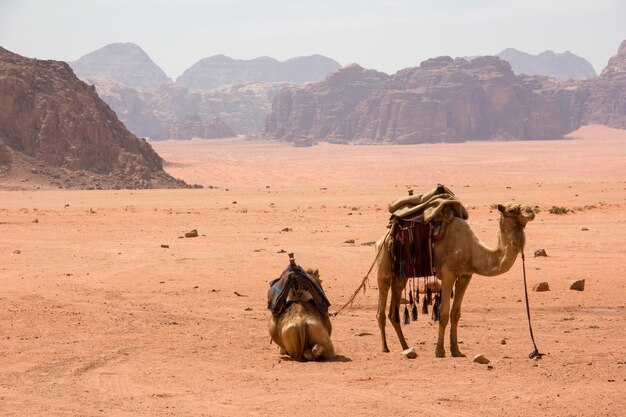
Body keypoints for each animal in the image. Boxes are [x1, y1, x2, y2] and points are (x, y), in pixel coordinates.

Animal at [372, 203, 532, 356]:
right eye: (512, 210)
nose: (531, 211)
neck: (473, 252)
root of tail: (383, 238)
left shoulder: (465, 276)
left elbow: (455, 313)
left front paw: (456, 351)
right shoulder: (448, 274)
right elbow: (443, 314)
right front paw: (440, 351)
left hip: (400, 275)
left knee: (394, 311)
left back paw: (405, 347)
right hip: (384, 266)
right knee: (381, 308)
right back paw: (385, 347)